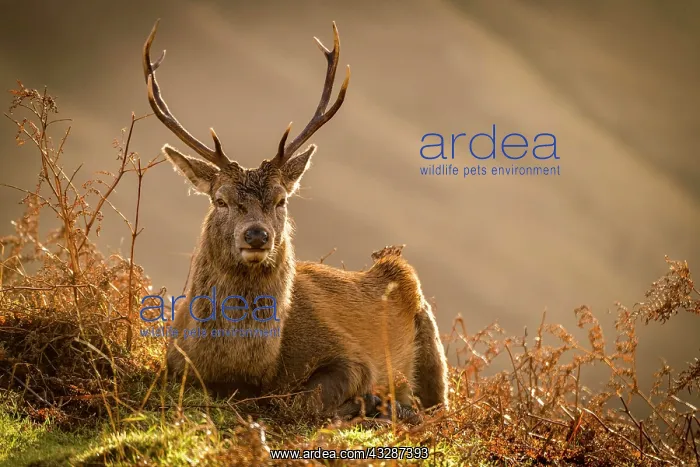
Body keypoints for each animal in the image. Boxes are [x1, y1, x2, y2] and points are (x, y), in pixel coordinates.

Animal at [143, 19, 449, 420]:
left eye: (281, 199)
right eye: (220, 200)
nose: (257, 236)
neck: (244, 372)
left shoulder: (354, 358)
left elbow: (301, 399)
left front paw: (367, 402)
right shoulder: (173, 362)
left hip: (432, 345)